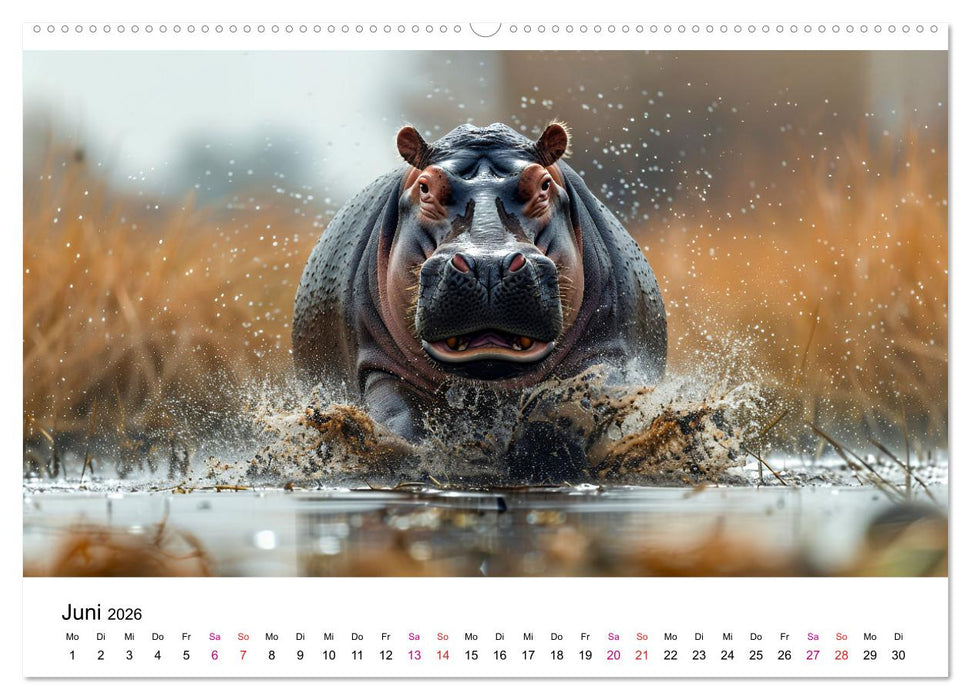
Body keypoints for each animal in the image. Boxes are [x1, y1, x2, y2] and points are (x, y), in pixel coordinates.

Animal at [293, 122, 666, 464]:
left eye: (544, 183)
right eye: (425, 186)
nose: (489, 265)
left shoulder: (604, 349)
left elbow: (578, 401)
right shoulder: (381, 365)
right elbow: (400, 417)